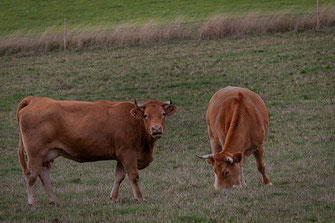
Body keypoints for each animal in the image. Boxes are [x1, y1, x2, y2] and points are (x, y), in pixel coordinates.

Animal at [16, 96, 178, 206]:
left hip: (47, 155)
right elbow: (133, 176)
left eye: (163, 114)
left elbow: (119, 176)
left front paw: (114, 198)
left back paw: (55, 201)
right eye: (146, 115)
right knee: (31, 175)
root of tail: (36, 100)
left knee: (44, 176)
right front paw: (139, 197)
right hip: (35, 154)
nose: (156, 129)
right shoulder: (128, 154)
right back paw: (32, 203)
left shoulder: (121, 156)